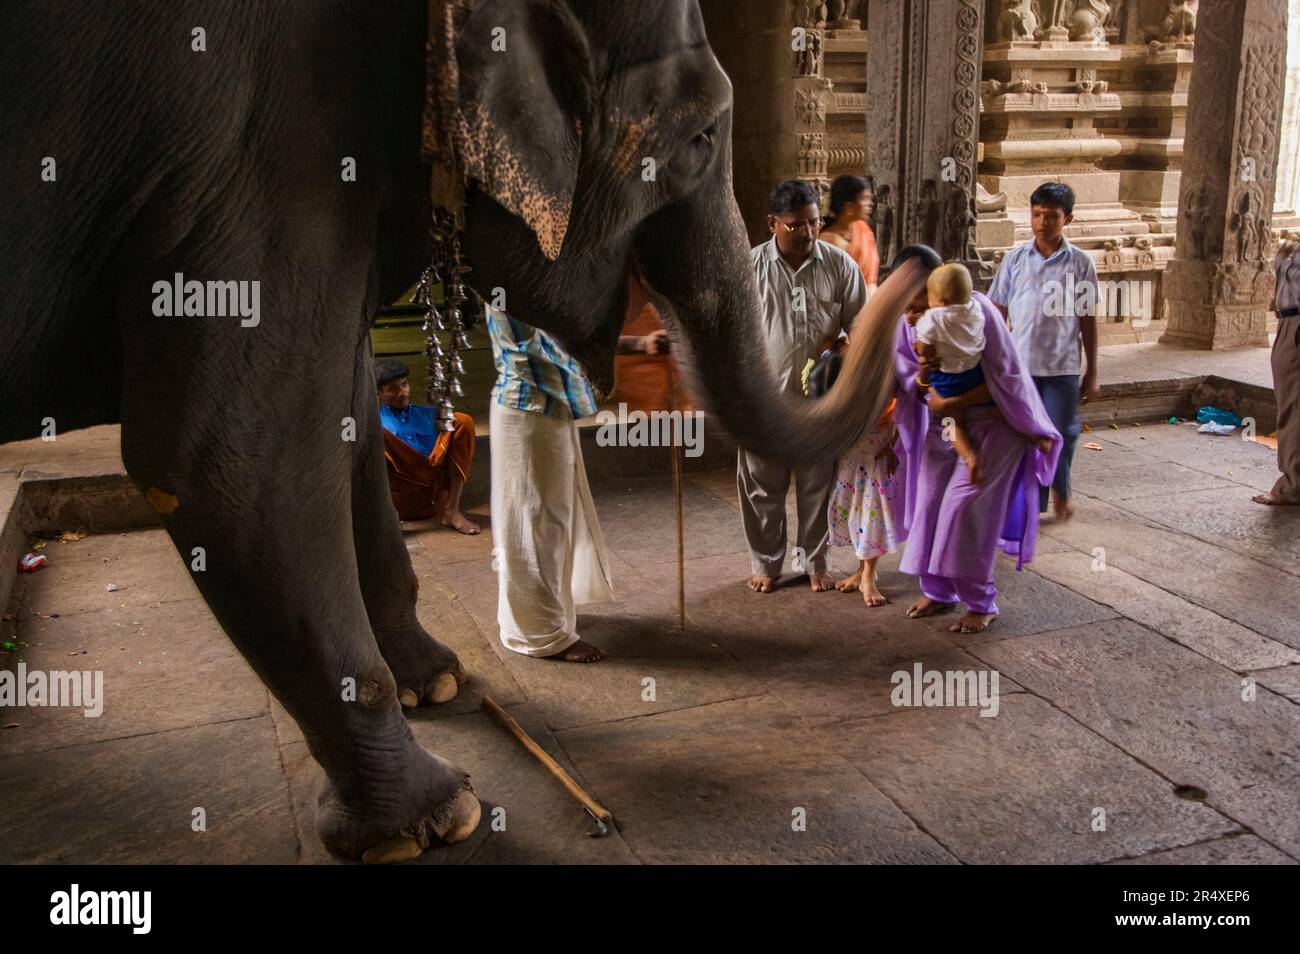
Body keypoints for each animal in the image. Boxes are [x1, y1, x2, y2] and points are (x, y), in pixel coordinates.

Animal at [0, 0, 920, 863]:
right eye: (699, 136)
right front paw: (434, 819)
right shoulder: (263, 155)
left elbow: (341, 415)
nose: (911, 253)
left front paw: (437, 684)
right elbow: (229, 458)